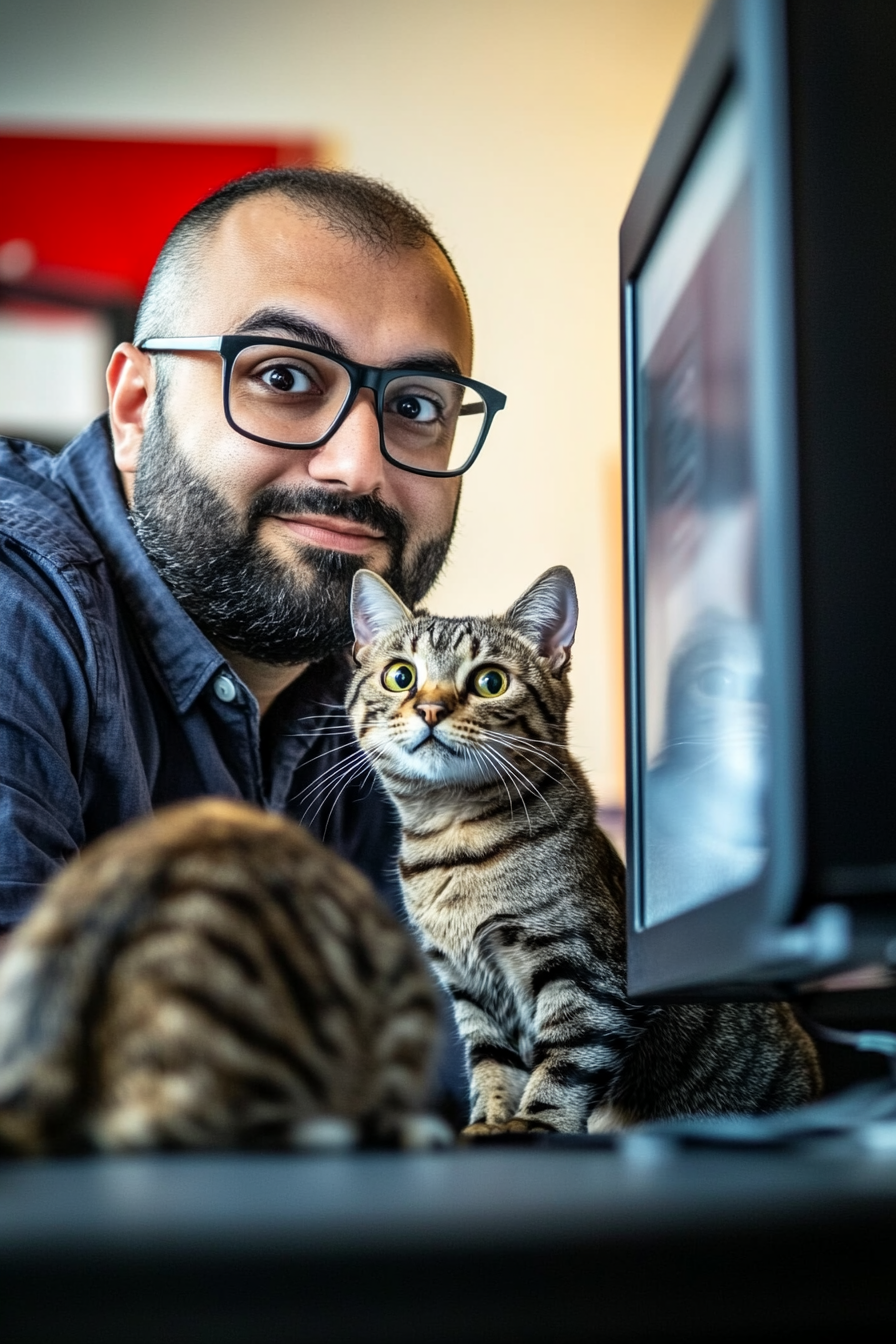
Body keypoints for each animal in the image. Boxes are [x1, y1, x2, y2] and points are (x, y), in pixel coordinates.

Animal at [346, 564, 822, 1134]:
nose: (431, 708)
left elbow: (567, 1061)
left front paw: (534, 1126)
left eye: (490, 682)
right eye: (400, 676)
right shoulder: (469, 987)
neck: (452, 841)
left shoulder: (586, 972)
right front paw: (488, 1123)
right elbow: (491, 1063)